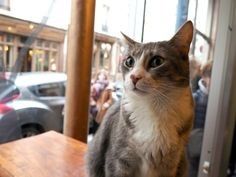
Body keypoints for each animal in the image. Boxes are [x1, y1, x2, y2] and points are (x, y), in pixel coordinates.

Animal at [86, 21, 194, 177]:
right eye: (129, 61)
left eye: (157, 61)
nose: (134, 77)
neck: (153, 107)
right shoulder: (117, 159)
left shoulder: (171, 164)